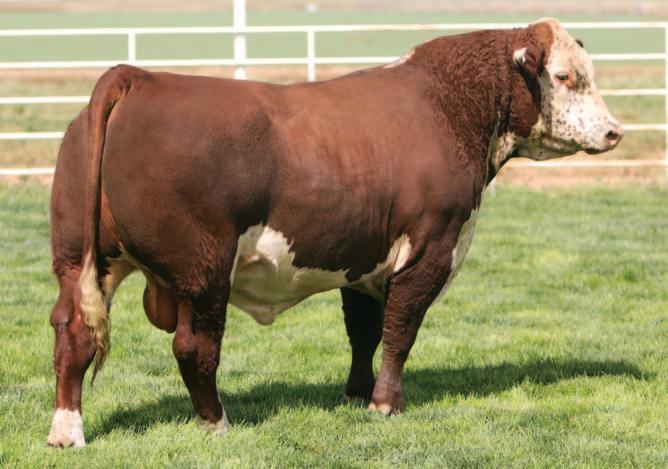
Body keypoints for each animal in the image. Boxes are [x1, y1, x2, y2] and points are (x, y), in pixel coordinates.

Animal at [47, 18, 622, 447]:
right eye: (565, 77)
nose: (615, 131)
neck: (449, 106)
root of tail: (138, 77)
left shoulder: (364, 257)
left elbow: (364, 331)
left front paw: (355, 393)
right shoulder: (431, 248)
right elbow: (401, 330)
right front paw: (385, 405)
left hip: (80, 260)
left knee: (73, 331)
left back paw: (66, 432)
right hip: (203, 268)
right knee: (194, 346)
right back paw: (217, 422)